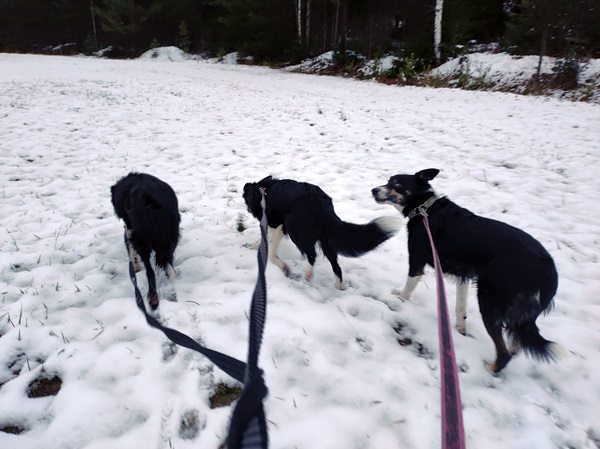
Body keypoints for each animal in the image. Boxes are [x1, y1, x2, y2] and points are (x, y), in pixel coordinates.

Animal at [110, 172, 180, 308]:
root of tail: (152, 202)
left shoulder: (130, 228)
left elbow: (131, 249)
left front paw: (136, 266)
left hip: (143, 241)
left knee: (150, 272)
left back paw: (152, 299)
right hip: (170, 237)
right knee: (170, 267)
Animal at [241, 173, 400, 288]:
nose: (248, 210)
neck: (261, 191)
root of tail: (320, 203)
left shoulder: (276, 225)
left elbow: (271, 251)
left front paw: (282, 266)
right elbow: (264, 238)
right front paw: (254, 246)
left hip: (296, 229)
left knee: (312, 254)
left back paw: (308, 273)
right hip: (326, 239)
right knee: (335, 265)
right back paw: (339, 286)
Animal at [372, 168, 560, 372]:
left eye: (397, 184)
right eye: (388, 180)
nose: (374, 190)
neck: (424, 208)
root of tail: (548, 268)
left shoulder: (417, 261)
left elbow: (408, 288)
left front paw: (399, 299)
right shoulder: (463, 276)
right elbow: (460, 306)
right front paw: (460, 328)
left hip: (489, 300)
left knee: (503, 352)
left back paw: (490, 369)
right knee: (517, 344)